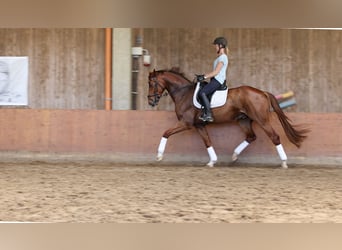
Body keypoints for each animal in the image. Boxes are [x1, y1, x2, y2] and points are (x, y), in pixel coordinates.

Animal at [147, 69, 308, 168]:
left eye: (152, 83)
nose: (150, 101)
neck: (184, 93)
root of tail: (262, 92)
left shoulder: (185, 123)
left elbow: (165, 133)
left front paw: (159, 156)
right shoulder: (199, 125)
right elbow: (207, 142)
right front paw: (212, 161)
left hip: (262, 120)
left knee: (274, 137)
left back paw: (284, 162)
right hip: (243, 120)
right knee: (251, 136)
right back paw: (235, 155)